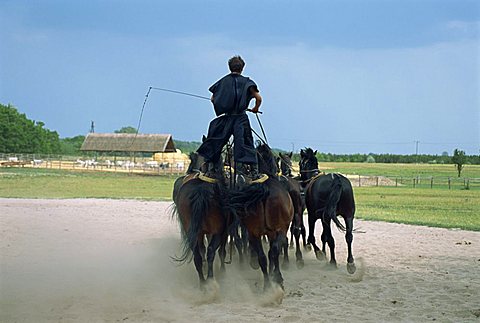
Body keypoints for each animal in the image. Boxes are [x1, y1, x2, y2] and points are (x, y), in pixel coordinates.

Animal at [231, 144, 294, 292]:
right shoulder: (277, 231)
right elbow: (275, 251)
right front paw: (276, 274)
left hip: (254, 232)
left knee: (262, 257)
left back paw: (266, 285)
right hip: (279, 229)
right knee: (273, 251)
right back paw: (276, 279)